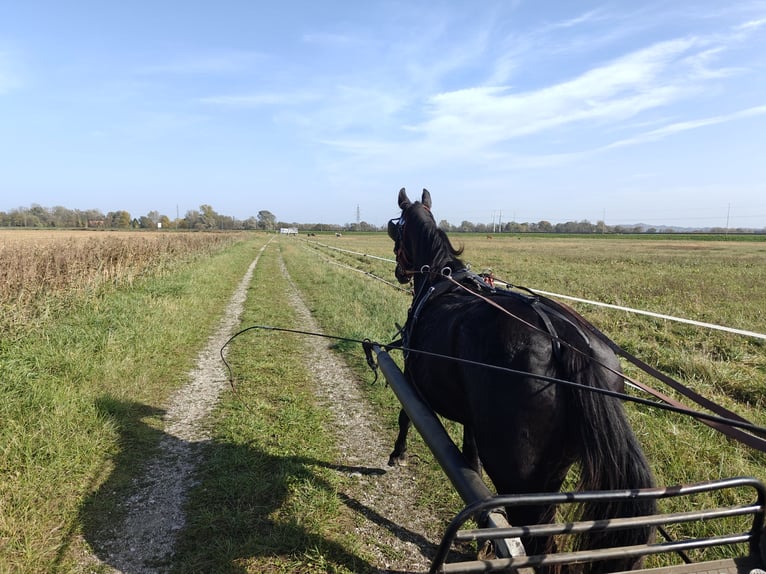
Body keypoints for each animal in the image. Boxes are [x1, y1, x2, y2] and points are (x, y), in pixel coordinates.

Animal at [390, 188, 660, 572]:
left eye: (395, 229)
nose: (399, 271)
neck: (441, 278)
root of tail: (569, 342)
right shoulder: (473, 418)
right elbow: (470, 457)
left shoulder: (412, 377)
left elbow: (405, 416)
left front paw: (396, 454)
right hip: (550, 472)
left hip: (517, 473)